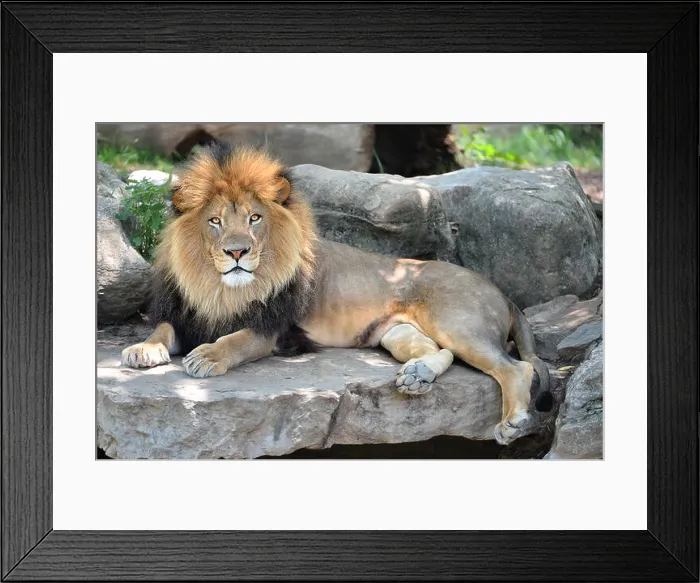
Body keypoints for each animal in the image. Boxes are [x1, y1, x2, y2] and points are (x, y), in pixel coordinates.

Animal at [121, 142, 553, 445]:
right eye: (214, 221)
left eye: (254, 218)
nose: (237, 252)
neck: (219, 290)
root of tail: (500, 290)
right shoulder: (184, 315)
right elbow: (161, 329)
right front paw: (142, 349)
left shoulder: (273, 330)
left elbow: (235, 340)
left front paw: (207, 356)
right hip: (396, 333)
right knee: (437, 350)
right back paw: (417, 376)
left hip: (457, 322)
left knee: (516, 367)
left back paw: (513, 422)